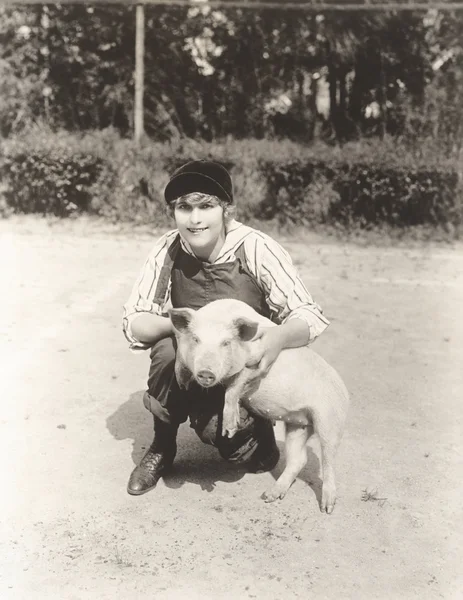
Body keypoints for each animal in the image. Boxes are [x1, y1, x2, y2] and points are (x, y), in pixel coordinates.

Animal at [169, 298, 350, 512]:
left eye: (226, 343)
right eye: (196, 339)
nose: (206, 372)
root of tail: (346, 393)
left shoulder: (255, 363)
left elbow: (234, 387)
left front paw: (229, 430)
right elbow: (179, 360)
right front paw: (182, 383)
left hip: (330, 419)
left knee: (328, 458)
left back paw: (327, 508)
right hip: (297, 425)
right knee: (299, 459)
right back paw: (269, 496)